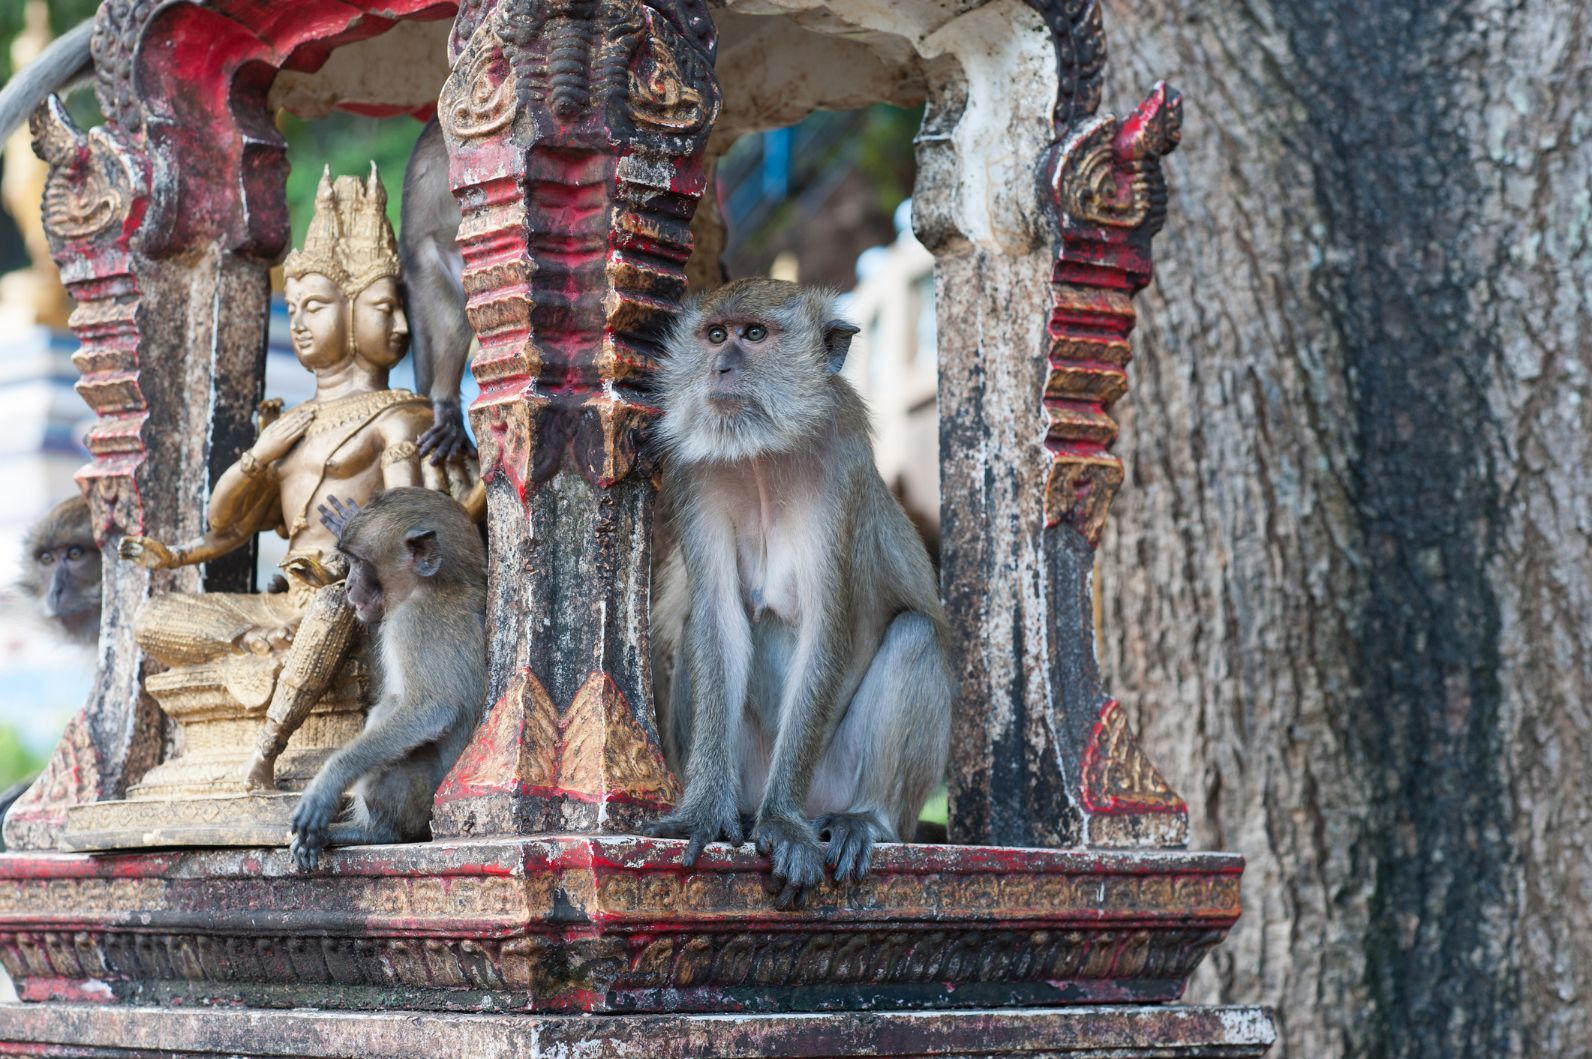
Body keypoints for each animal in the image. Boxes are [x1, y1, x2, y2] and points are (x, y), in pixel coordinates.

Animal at [286, 487, 483, 866]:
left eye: (360, 562)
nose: (348, 586)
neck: (433, 584)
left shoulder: (414, 623)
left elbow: (432, 710)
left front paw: (329, 780)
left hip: (423, 805)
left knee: (391, 715)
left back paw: (378, 831)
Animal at [649, 277, 948, 904]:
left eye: (754, 334)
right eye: (716, 335)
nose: (721, 368)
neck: (761, 455)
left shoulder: (840, 472)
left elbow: (825, 632)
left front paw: (782, 823)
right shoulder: (693, 474)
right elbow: (717, 623)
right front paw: (703, 810)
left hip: (834, 782)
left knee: (916, 635)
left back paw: (865, 820)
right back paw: (741, 811)